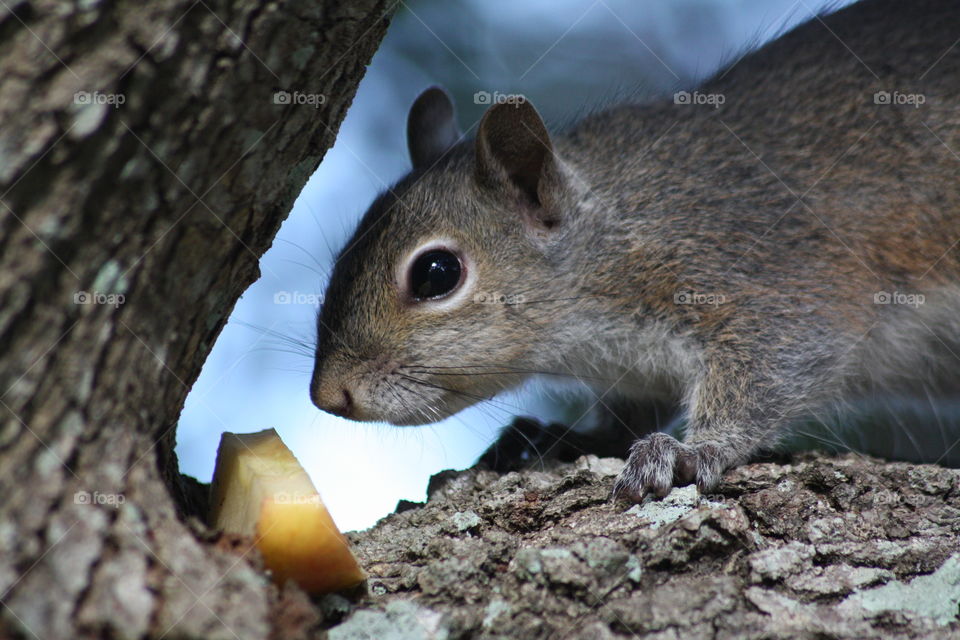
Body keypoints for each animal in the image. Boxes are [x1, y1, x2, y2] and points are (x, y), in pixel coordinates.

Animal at [312, 0, 960, 502]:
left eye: (436, 273)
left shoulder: (766, 273)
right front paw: (573, 437)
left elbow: (781, 363)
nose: (328, 395)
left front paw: (695, 448)